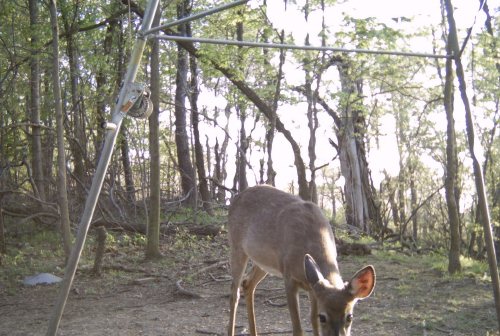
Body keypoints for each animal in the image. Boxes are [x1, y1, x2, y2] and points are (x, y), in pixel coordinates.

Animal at [227, 185, 376, 336]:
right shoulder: (289, 277)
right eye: (323, 317)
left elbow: (313, 320)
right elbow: (298, 328)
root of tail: (236, 198)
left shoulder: (313, 285)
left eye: (350, 317)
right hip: (237, 245)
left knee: (248, 283)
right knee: (234, 292)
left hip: (264, 262)